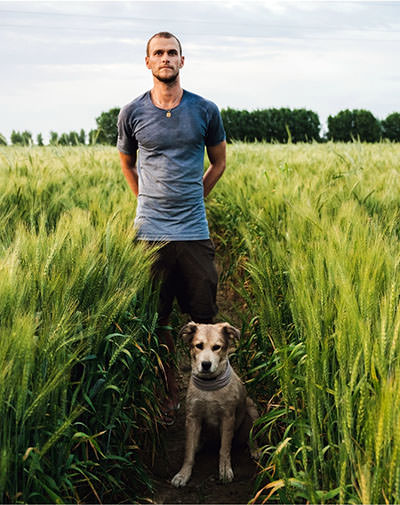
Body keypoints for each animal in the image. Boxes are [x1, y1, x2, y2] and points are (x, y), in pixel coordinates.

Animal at [171, 320, 260, 486]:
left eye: (217, 347)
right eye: (199, 345)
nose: (206, 364)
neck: (209, 386)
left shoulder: (227, 418)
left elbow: (224, 449)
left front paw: (225, 470)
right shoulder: (192, 418)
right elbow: (188, 453)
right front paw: (183, 474)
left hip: (252, 409)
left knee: (252, 435)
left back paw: (255, 449)